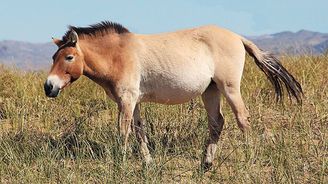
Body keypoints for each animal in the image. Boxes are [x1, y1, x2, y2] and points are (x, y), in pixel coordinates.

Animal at [43, 20, 302, 170]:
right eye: (53, 57)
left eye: (68, 57)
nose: (49, 86)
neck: (119, 54)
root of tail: (237, 36)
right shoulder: (134, 101)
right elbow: (139, 130)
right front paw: (147, 163)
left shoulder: (126, 100)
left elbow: (123, 131)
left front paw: (120, 162)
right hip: (210, 91)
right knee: (217, 123)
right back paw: (206, 164)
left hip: (229, 88)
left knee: (242, 119)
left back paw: (248, 158)